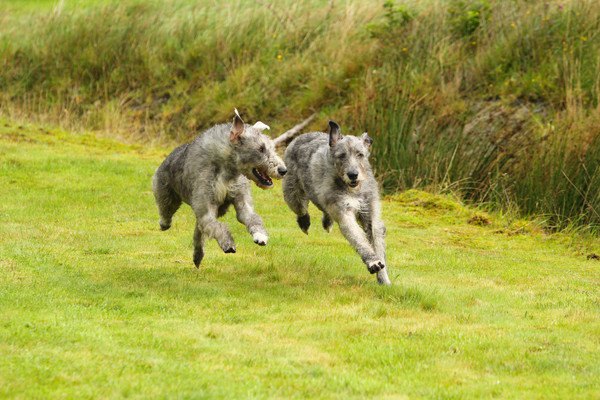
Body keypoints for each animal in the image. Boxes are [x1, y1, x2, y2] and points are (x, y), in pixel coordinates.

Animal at [284, 119, 392, 284]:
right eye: (341, 155)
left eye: (360, 154)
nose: (353, 174)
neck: (354, 190)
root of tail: (300, 136)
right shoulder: (344, 212)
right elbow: (357, 237)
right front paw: (372, 261)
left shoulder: (370, 212)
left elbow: (376, 236)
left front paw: (384, 279)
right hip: (292, 193)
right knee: (301, 209)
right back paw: (304, 222)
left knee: (325, 210)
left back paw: (327, 222)